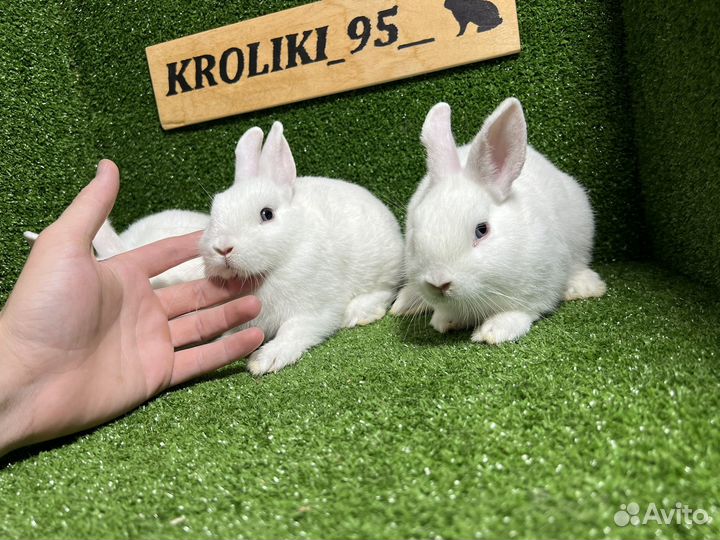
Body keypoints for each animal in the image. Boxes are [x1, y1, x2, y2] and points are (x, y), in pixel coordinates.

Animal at [200, 121, 404, 375]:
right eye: (214, 211)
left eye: (267, 214)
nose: (223, 248)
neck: (273, 267)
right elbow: (233, 333)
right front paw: (221, 344)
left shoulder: (314, 310)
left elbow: (293, 329)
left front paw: (266, 359)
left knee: (386, 291)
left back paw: (358, 313)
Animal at [391, 98, 607, 344]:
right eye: (414, 234)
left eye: (482, 230)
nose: (439, 283)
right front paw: (444, 320)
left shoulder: (542, 283)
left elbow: (523, 310)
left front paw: (493, 331)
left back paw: (586, 287)